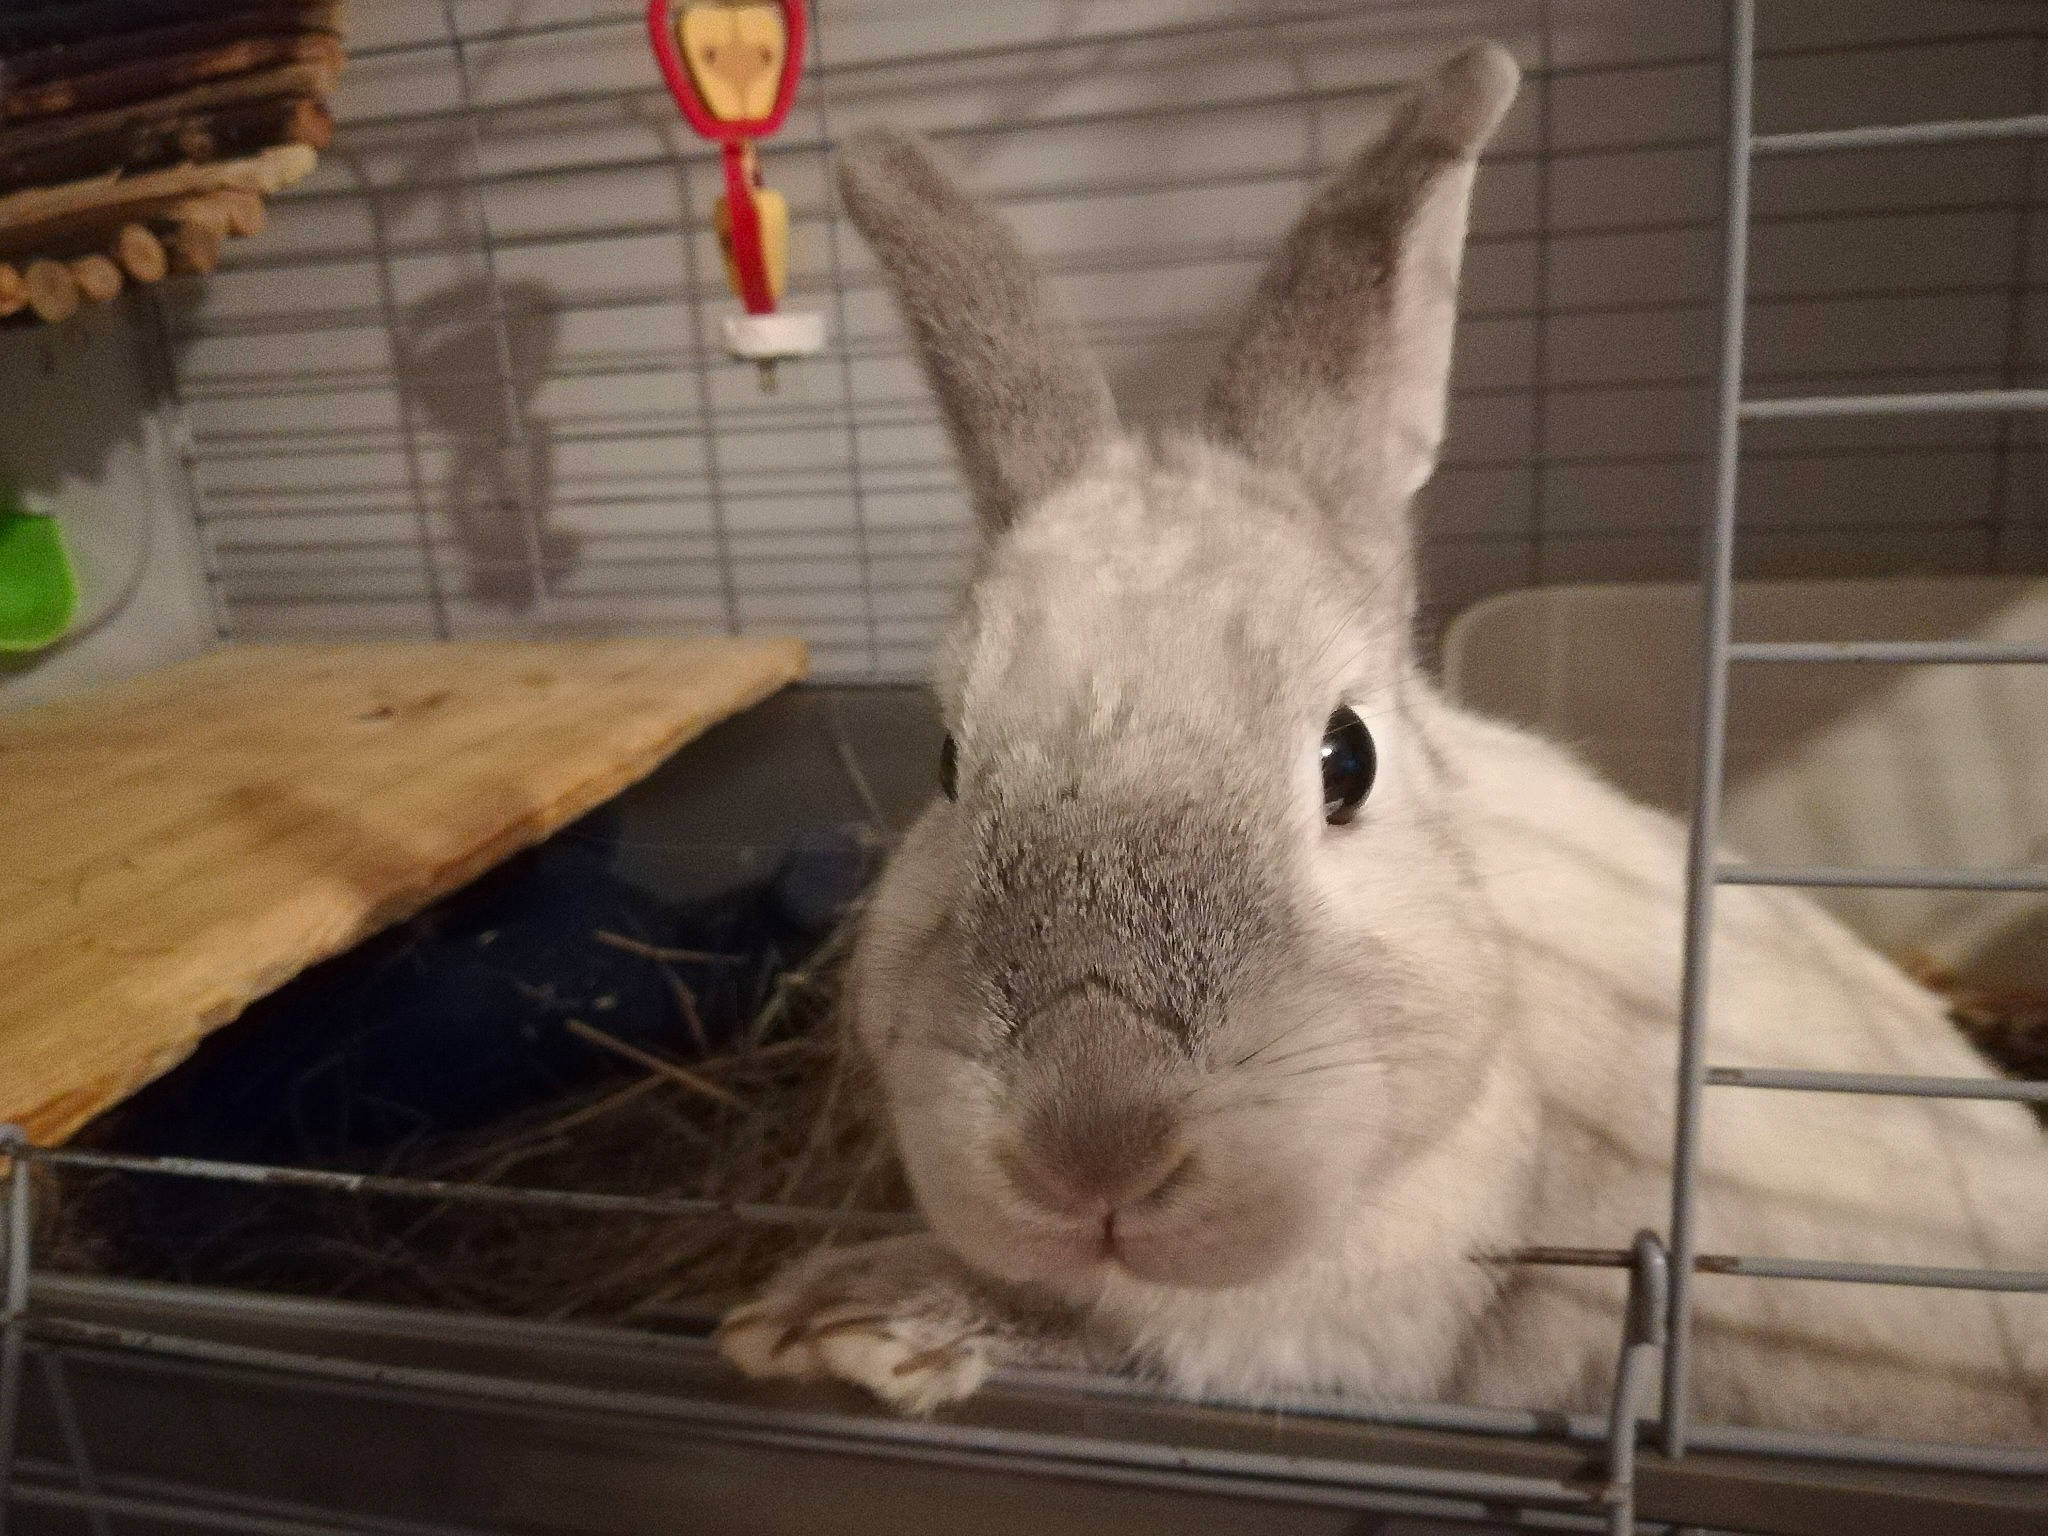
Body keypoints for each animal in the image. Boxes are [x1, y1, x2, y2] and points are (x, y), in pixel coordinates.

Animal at [718, 42, 2048, 1442]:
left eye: (1344, 761)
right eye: (946, 765)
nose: (1091, 1141)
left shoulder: (1330, 1327)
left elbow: (1119, 1336)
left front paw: (845, 1316)